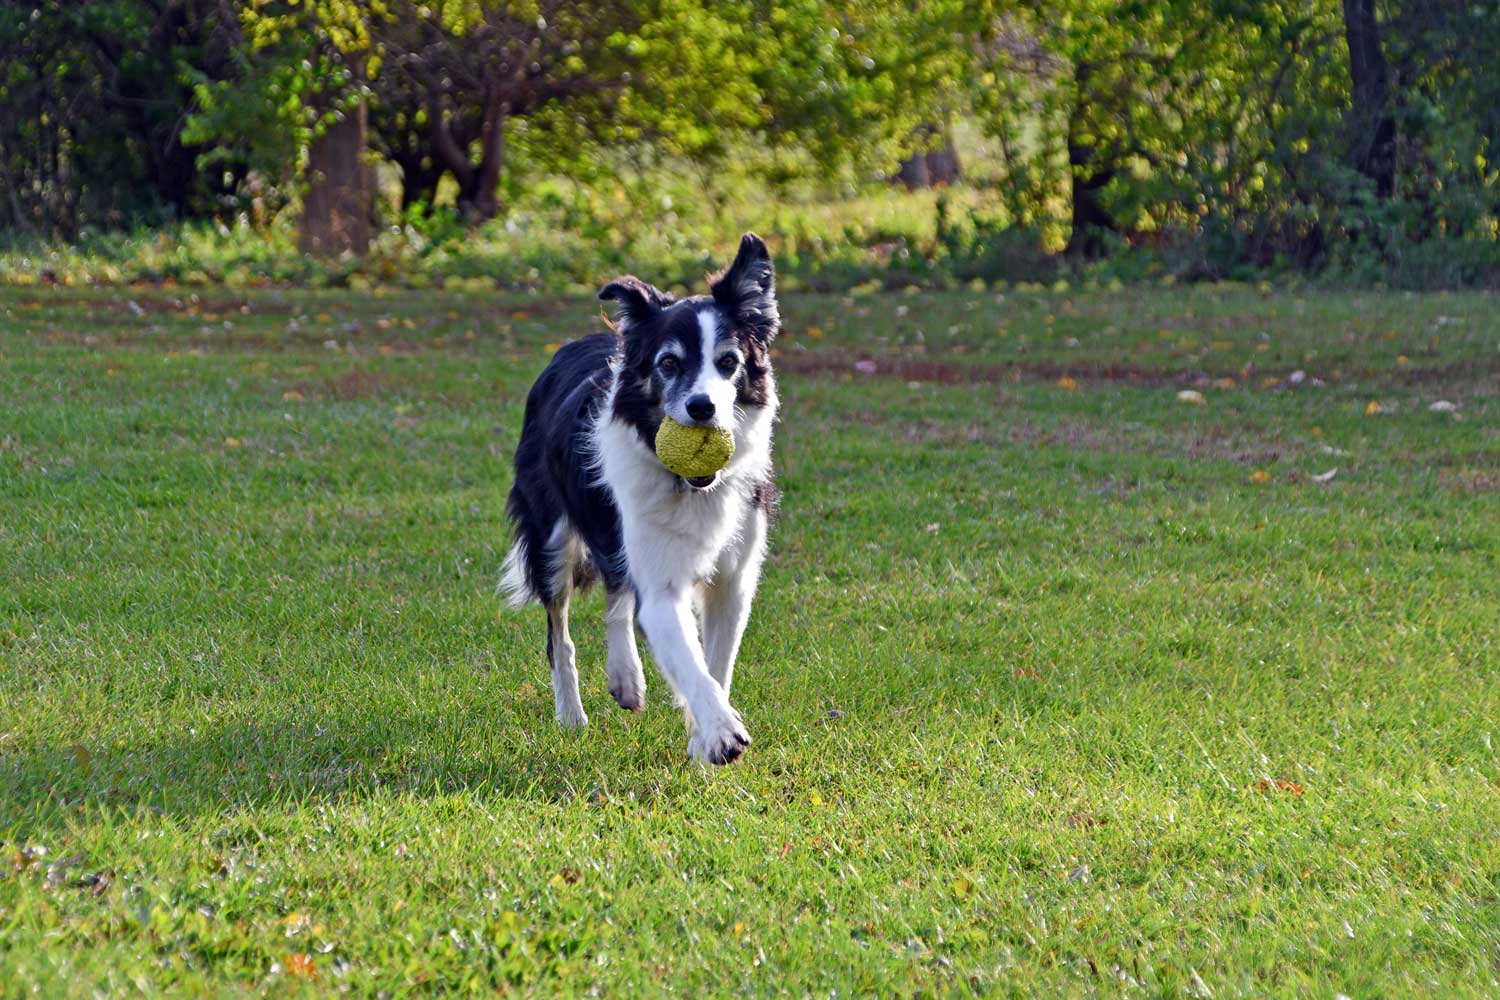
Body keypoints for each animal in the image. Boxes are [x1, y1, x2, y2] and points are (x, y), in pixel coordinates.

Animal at [504, 235, 786, 767]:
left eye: (729, 362)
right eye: (669, 363)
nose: (702, 408)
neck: (691, 485)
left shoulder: (734, 581)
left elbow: (714, 665)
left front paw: (702, 735)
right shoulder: (661, 583)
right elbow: (689, 660)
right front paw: (721, 733)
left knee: (617, 593)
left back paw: (626, 679)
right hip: (552, 539)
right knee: (560, 635)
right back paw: (572, 715)